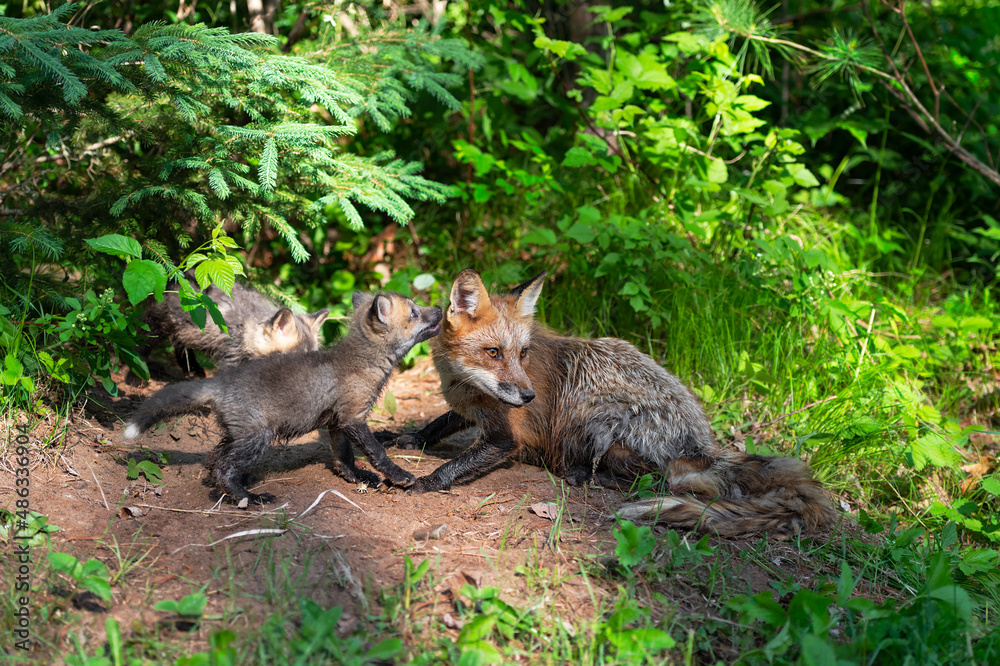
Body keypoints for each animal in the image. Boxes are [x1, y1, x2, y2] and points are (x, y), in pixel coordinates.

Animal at [125, 292, 441, 504]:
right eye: (414, 312)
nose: (440, 308)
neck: (363, 363)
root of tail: (221, 381)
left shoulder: (338, 422)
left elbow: (344, 457)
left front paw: (356, 477)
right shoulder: (353, 417)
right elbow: (377, 452)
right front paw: (399, 476)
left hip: (239, 434)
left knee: (214, 460)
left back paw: (239, 484)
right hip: (259, 436)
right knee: (224, 467)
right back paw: (246, 497)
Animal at [390, 269, 836, 536]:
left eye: (523, 353)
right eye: (494, 353)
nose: (529, 396)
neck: (465, 386)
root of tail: (703, 447)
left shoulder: (506, 436)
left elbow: (458, 463)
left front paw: (427, 481)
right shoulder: (473, 407)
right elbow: (439, 423)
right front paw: (404, 439)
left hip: (592, 417)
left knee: (661, 480)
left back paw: (583, 476)